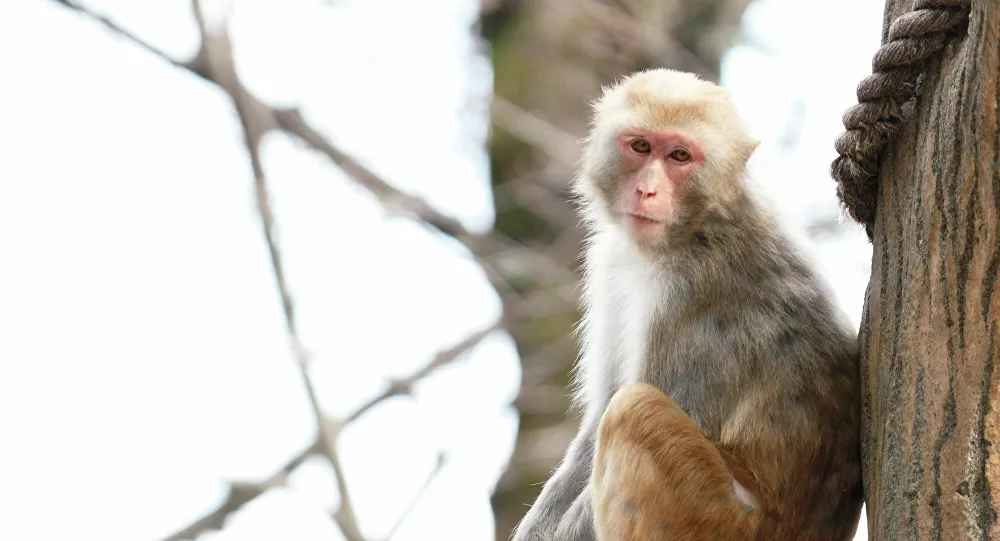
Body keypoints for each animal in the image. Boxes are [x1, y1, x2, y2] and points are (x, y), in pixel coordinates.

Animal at [511, 69, 862, 540]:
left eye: (680, 156)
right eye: (640, 146)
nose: (646, 190)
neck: (696, 228)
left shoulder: (691, 293)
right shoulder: (611, 263)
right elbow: (592, 431)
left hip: (713, 518)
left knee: (634, 409)